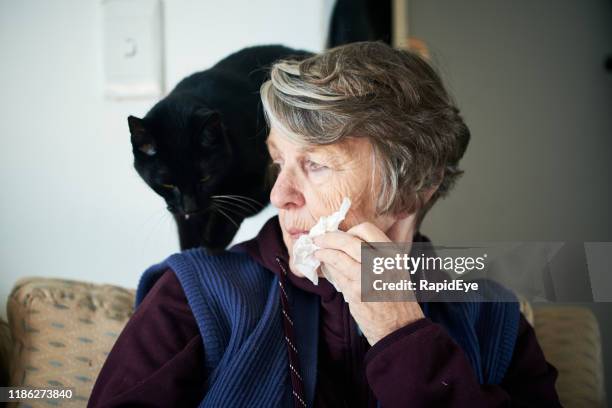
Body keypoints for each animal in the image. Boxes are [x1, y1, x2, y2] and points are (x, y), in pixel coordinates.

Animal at [129, 46, 310, 253]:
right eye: (167, 184)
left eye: (205, 178)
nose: (190, 207)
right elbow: (187, 229)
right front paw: (192, 250)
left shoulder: (263, 180)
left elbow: (233, 204)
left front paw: (213, 242)